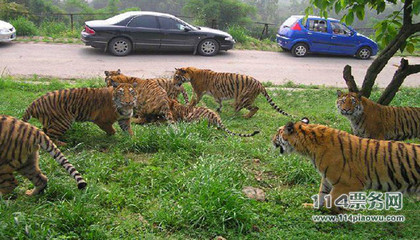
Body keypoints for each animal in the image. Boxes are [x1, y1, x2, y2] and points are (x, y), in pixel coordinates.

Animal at [272, 117, 420, 213]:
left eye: (278, 132)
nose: (271, 139)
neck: (308, 147)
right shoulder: (327, 178)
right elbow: (322, 194)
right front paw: (312, 206)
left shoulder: (351, 183)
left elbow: (330, 200)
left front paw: (341, 210)